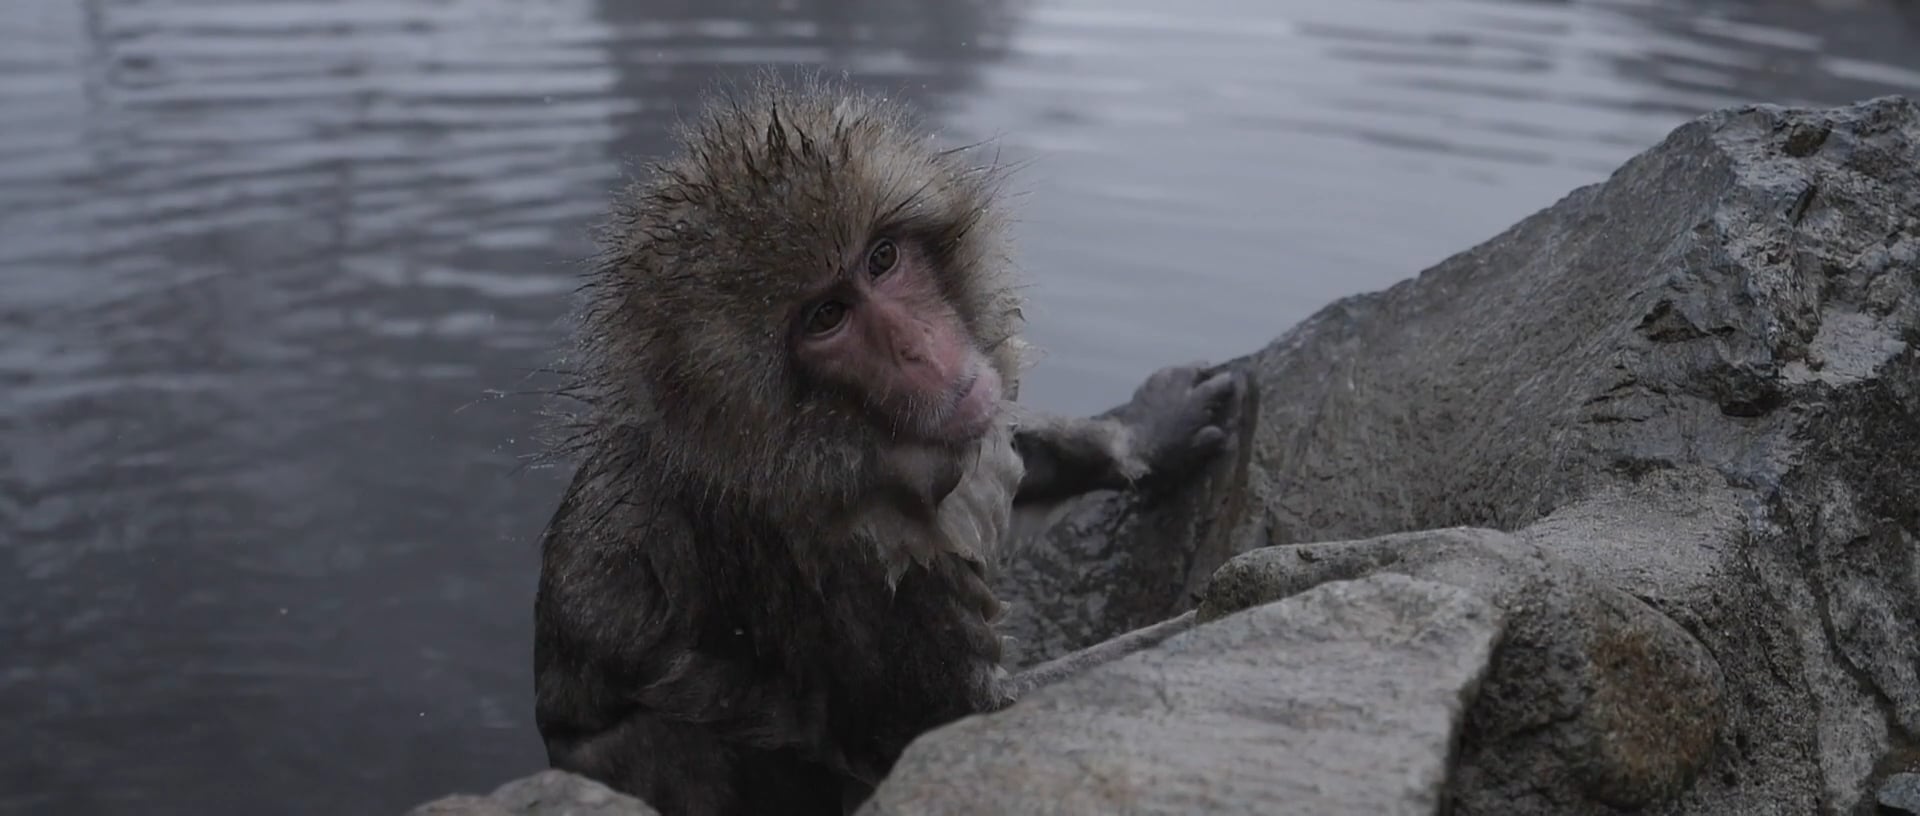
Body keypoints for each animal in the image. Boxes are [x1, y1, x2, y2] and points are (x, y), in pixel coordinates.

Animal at [532, 74, 1244, 816]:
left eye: (882, 260)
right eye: (827, 317)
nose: (917, 347)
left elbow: (1000, 450)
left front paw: (1147, 431)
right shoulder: (837, 573)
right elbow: (964, 730)